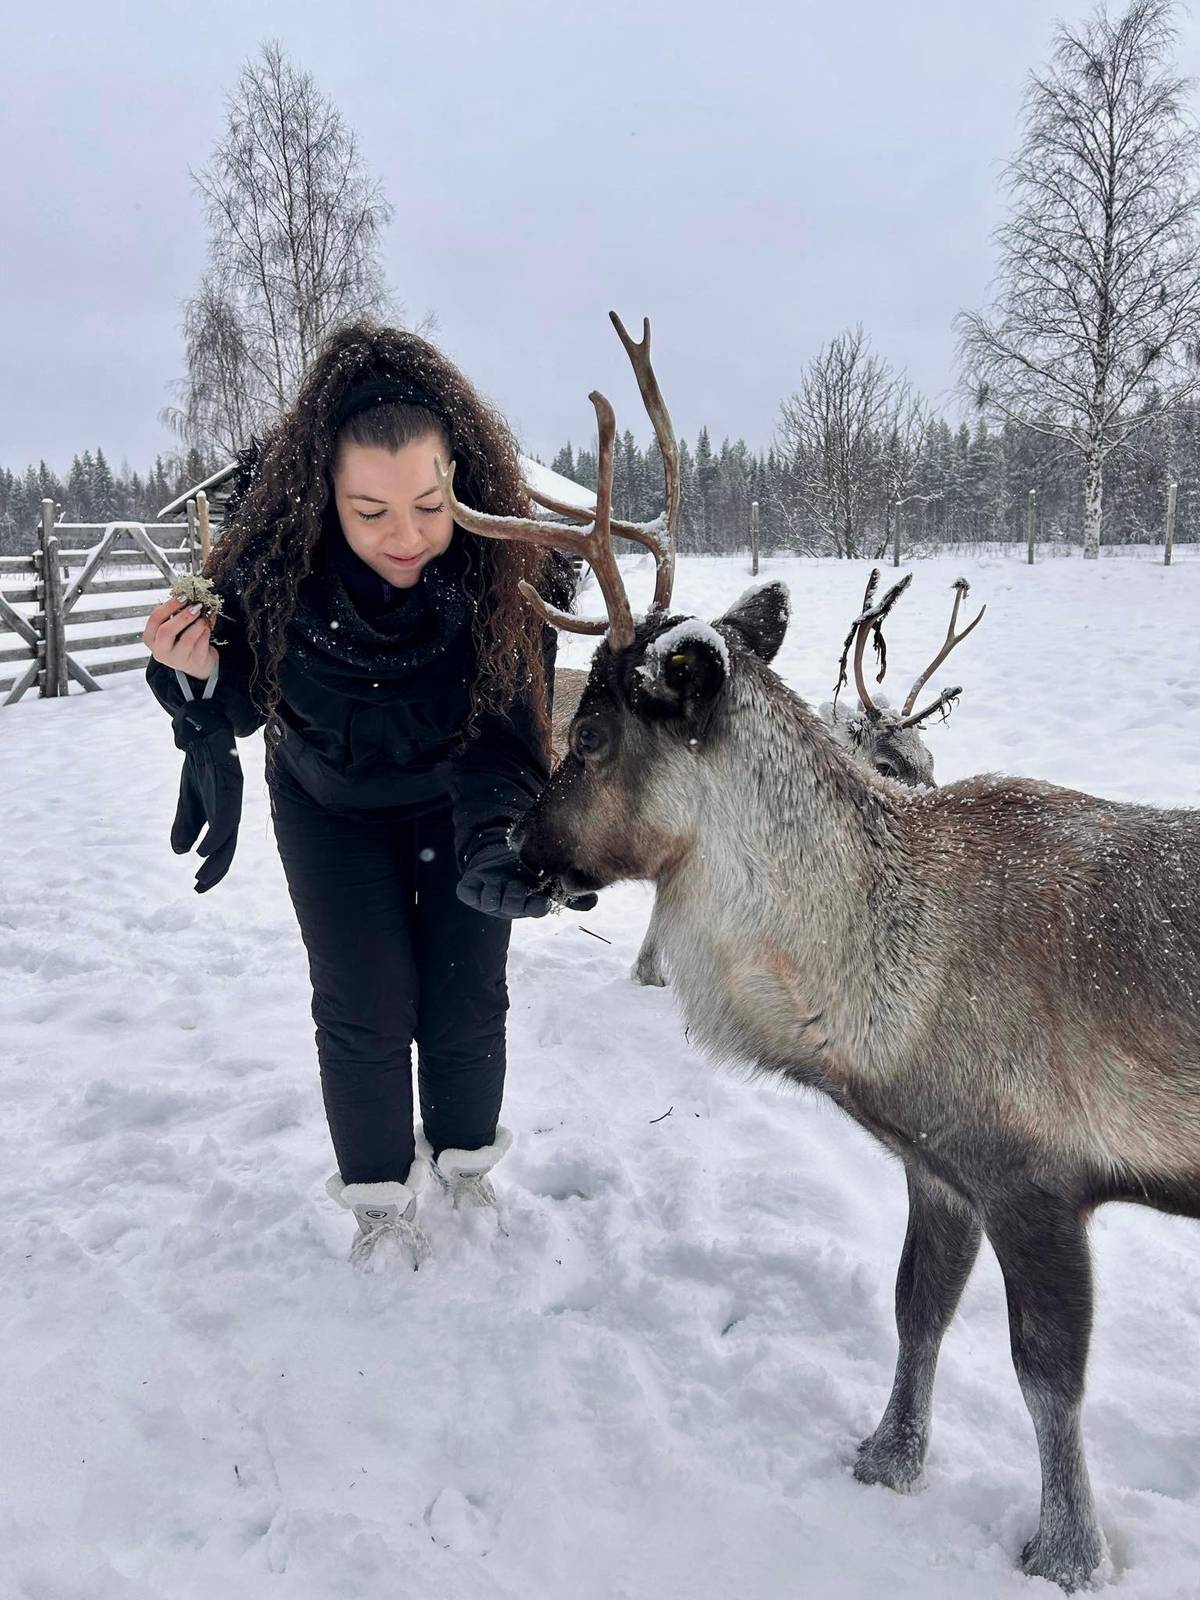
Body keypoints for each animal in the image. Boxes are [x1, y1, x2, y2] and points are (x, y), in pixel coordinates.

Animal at [435, 312, 1200, 1593]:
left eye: (588, 736)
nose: (518, 846)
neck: (875, 993)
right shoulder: (940, 1169)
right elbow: (914, 1310)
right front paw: (887, 1459)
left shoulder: (1039, 1175)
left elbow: (1048, 1376)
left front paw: (1066, 1548)